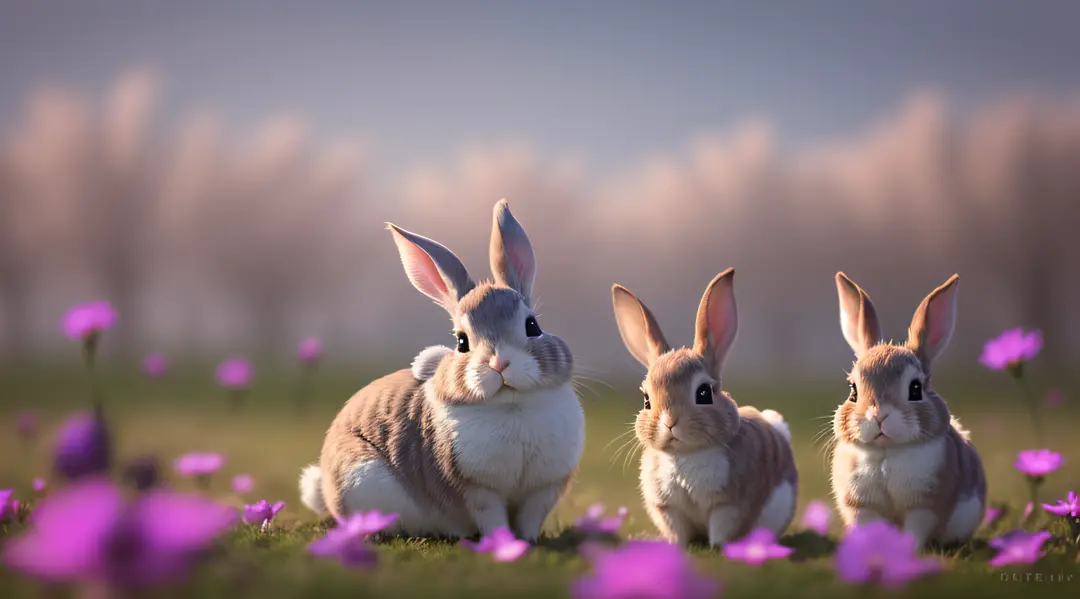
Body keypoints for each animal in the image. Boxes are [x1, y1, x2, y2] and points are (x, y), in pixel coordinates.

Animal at [295, 199, 587, 541]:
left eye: (533, 326)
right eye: (461, 342)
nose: (499, 363)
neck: (512, 405)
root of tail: (326, 487)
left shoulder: (543, 490)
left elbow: (530, 518)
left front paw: (527, 542)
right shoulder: (477, 491)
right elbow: (493, 518)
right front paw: (502, 542)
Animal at [613, 270, 799, 548]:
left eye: (703, 393)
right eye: (646, 400)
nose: (670, 421)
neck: (685, 454)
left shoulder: (729, 507)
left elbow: (721, 531)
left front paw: (717, 548)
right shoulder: (668, 509)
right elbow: (678, 532)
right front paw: (678, 547)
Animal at [825, 273, 989, 548]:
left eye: (915, 389)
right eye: (852, 390)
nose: (878, 416)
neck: (887, 450)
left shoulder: (924, 507)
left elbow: (916, 528)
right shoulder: (861, 506)